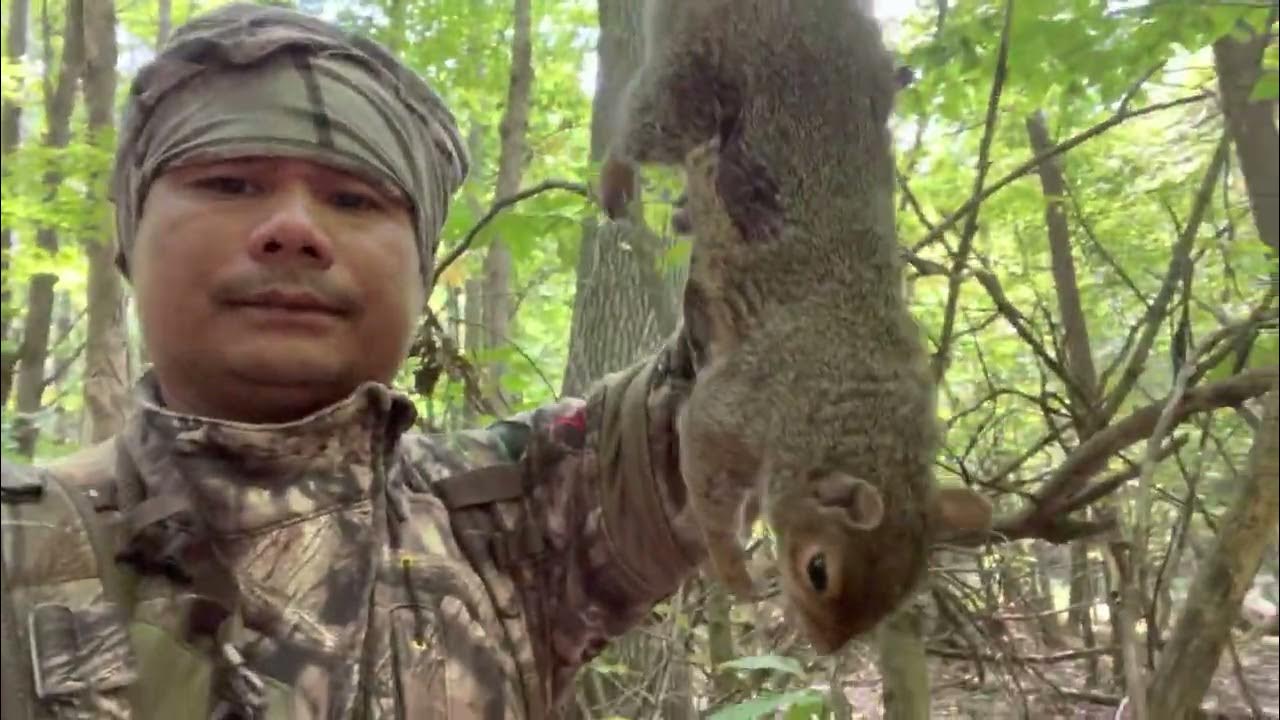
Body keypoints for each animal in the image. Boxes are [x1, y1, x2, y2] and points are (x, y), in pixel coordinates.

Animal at [604, 0, 993, 654]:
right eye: (819, 570)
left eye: (905, 593)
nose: (826, 647)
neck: (851, 408)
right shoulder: (740, 406)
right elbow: (705, 472)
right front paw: (733, 570)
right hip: (692, 76)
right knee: (641, 126)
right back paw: (616, 179)